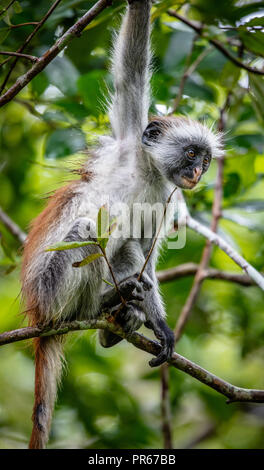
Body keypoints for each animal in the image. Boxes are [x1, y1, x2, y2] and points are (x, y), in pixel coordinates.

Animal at [21, 0, 223, 448]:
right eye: (191, 154)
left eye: (204, 160)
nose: (196, 173)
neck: (146, 171)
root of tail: (39, 317)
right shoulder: (129, 139)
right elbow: (130, 71)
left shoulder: (166, 198)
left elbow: (146, 254)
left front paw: (160, 326)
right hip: (50, 287)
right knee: (86, 230)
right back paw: (102, 306)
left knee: (128, 245)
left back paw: (118, 315)